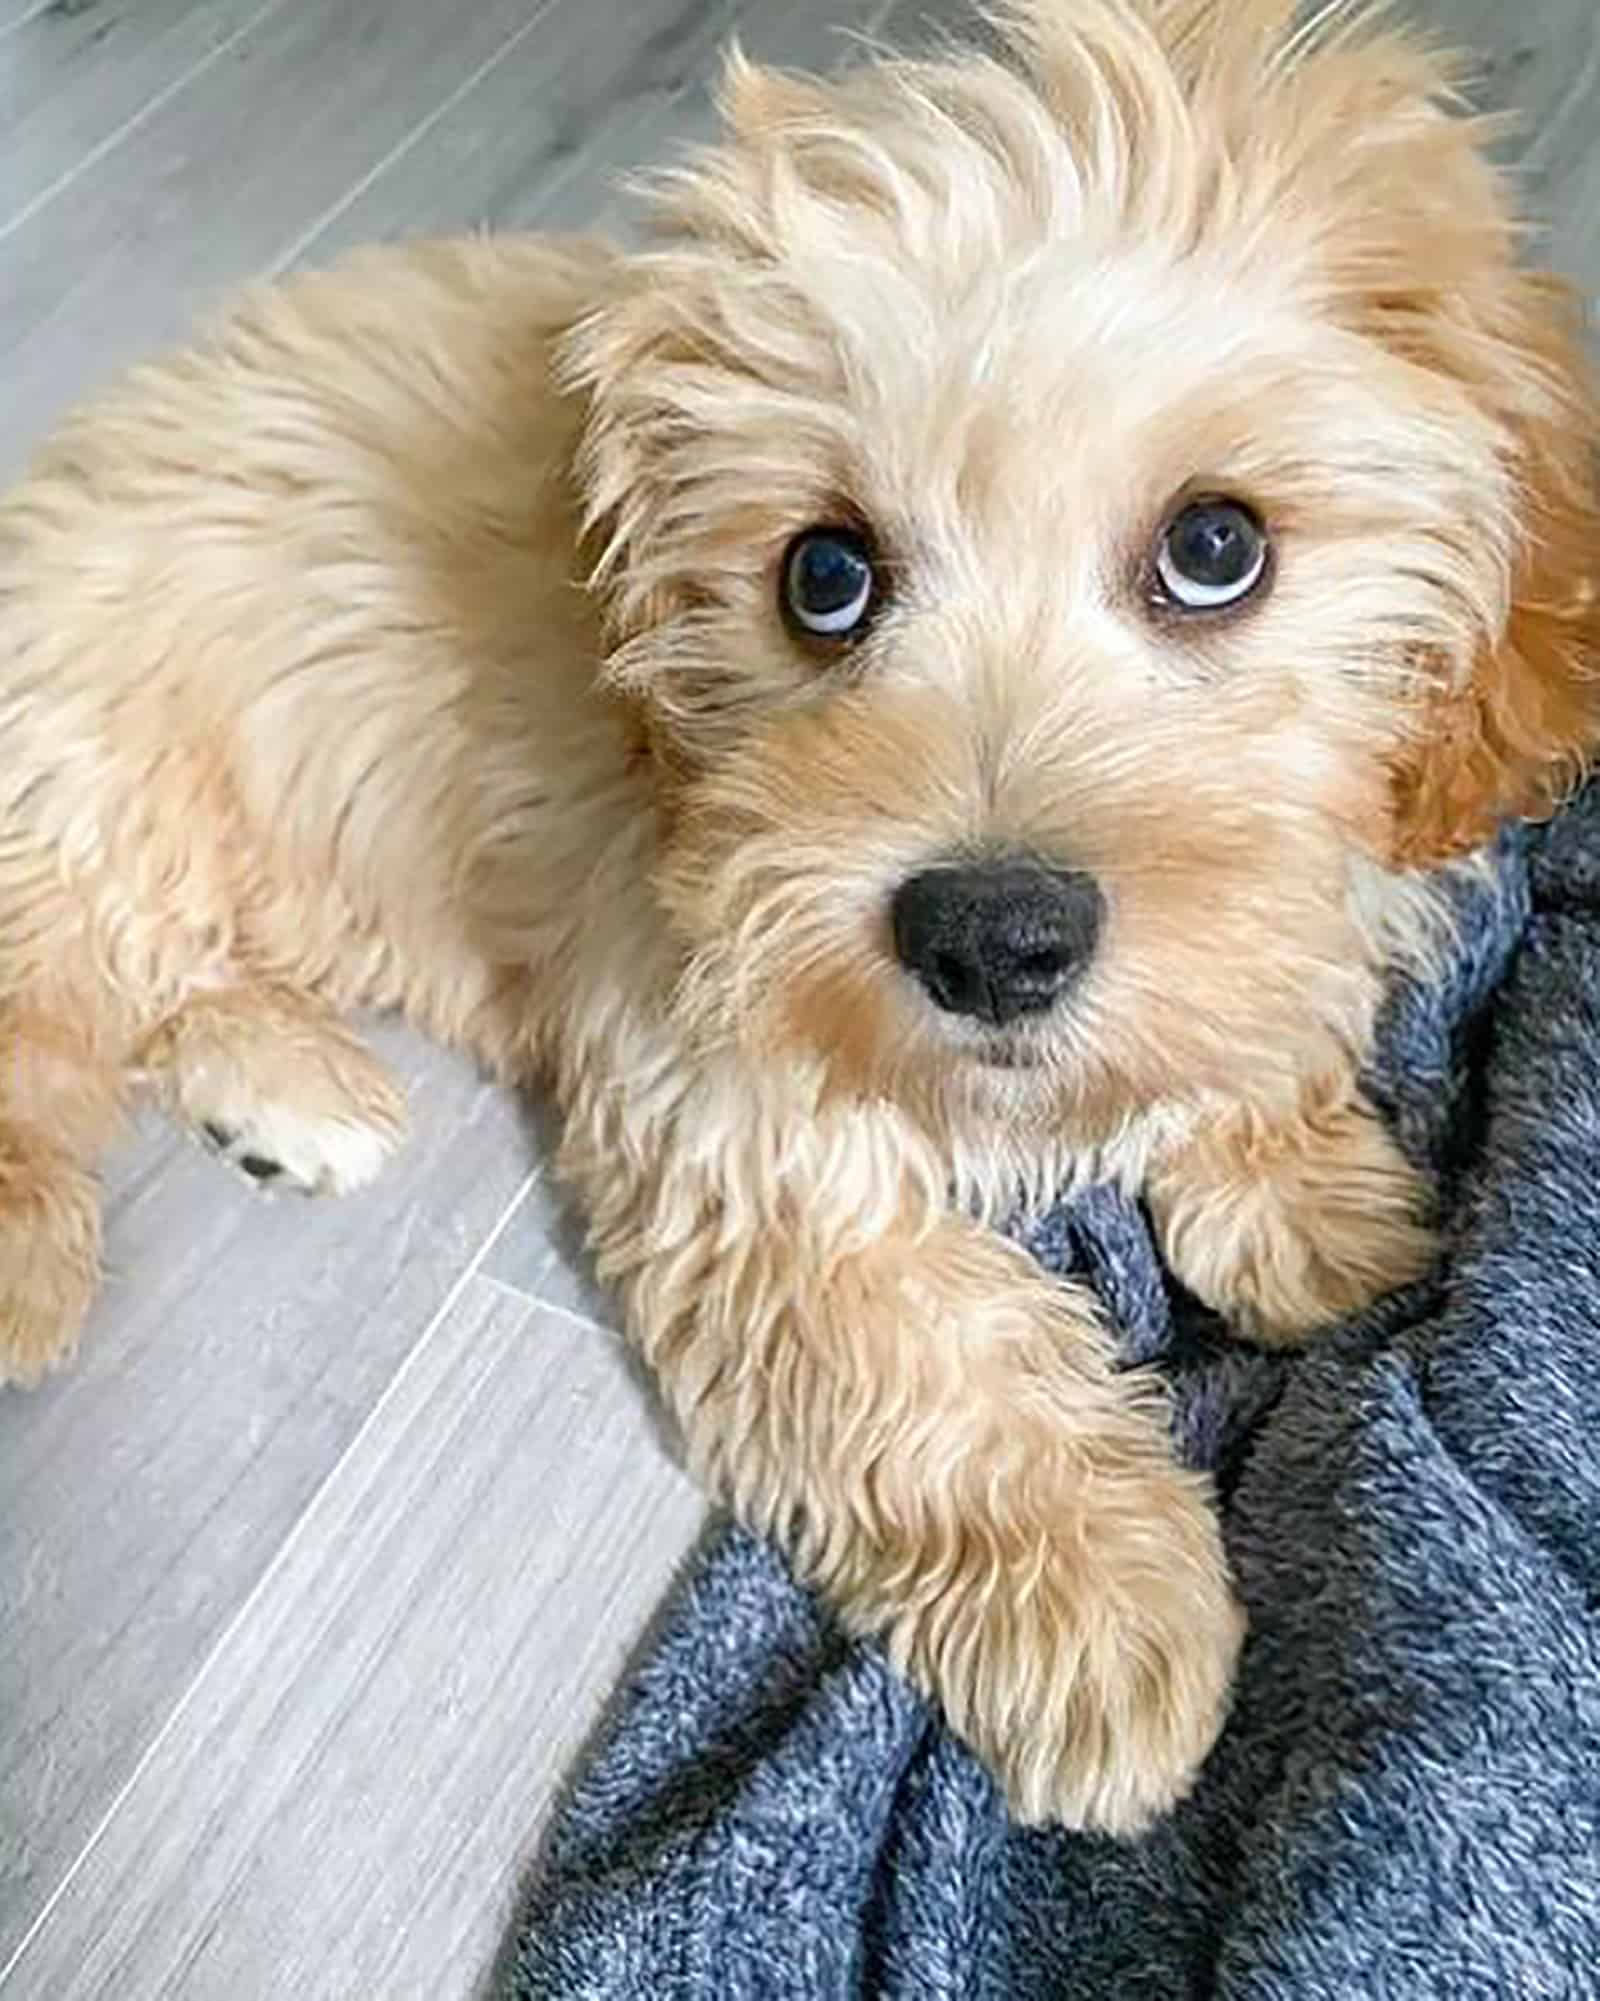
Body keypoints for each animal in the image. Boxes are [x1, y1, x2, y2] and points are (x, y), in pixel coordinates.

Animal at [3, 0, 1600, 1832]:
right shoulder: (729, 1098)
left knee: (167, 980)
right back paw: (33, 1244)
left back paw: (288, 1090)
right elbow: (939, 1363)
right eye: (823, 579)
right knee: (45, 992)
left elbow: (1254, 1011)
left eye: (1217, 546)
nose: (990, 939)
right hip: (102, 767)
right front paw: (1104, 1611)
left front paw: (1311, 1194)